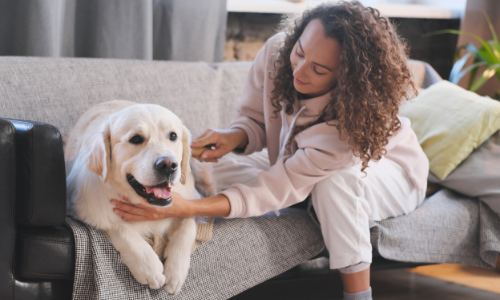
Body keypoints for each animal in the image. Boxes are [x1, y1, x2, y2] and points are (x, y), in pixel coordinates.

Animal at [65, 99, 199, 294]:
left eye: (173, 136)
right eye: (136, 139)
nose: (168, 165)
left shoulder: (187, 201)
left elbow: (187, 227)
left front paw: (176, 272)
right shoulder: (88, 211)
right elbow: (120, 229)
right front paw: (150, 268)